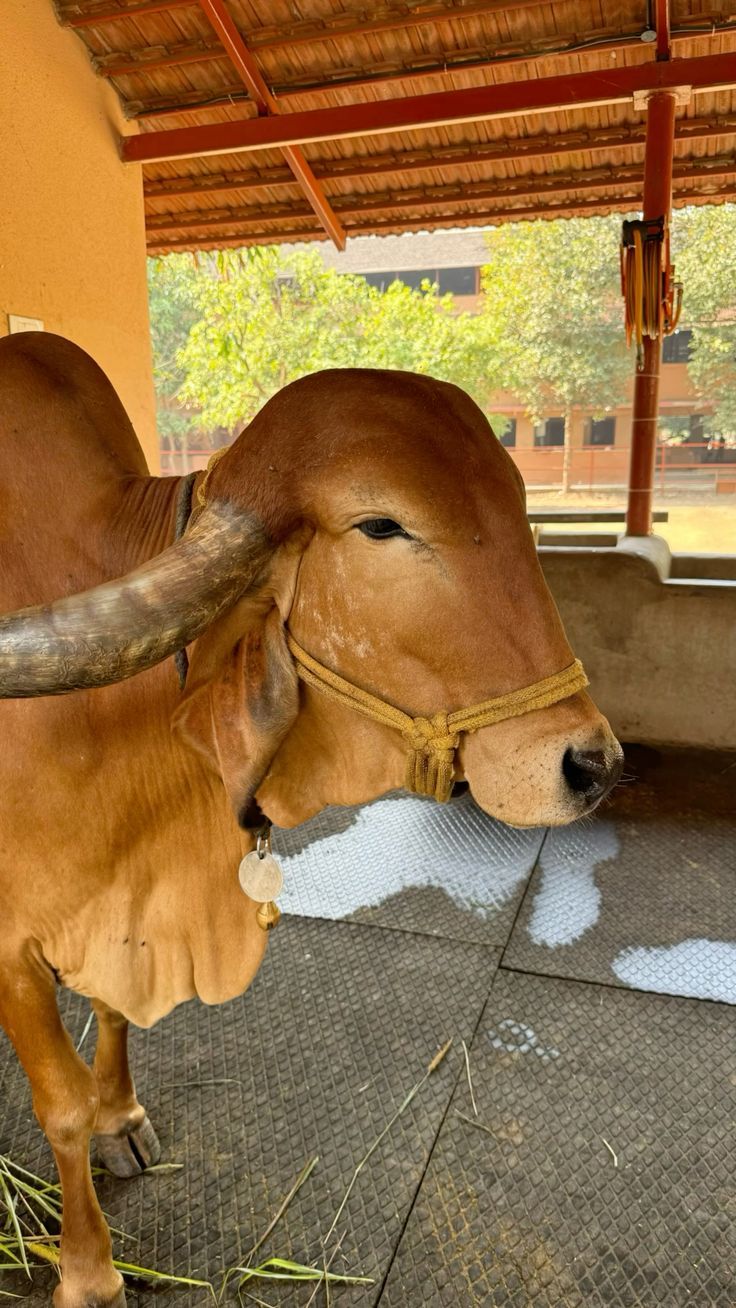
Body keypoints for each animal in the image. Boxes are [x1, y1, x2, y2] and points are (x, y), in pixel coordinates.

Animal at [0, 332, 622, 1308]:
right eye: (381, 527)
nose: (589, 764)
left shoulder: (120, 909)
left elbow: (114, 1015)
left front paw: (121, 1120)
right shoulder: (12, 945)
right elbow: (57, 1105)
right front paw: (90, 1275)